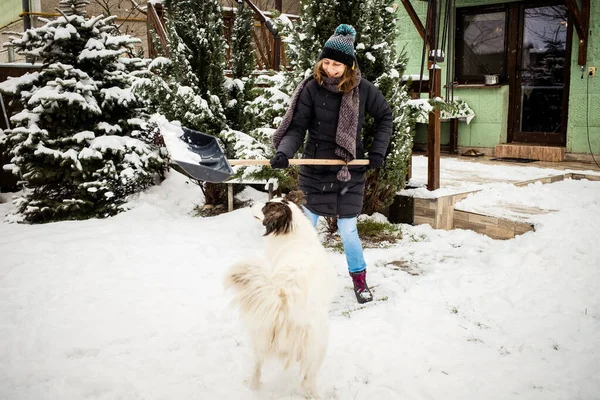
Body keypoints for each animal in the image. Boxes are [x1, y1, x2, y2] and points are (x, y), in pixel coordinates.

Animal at [225, 191, 338, 400]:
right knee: (307, 382)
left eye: (264, 208)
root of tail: (282, 297)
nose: (250, 204)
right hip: (318, 345)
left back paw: (253, 387)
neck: (292, 231)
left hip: (260, 332)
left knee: (257, 366)